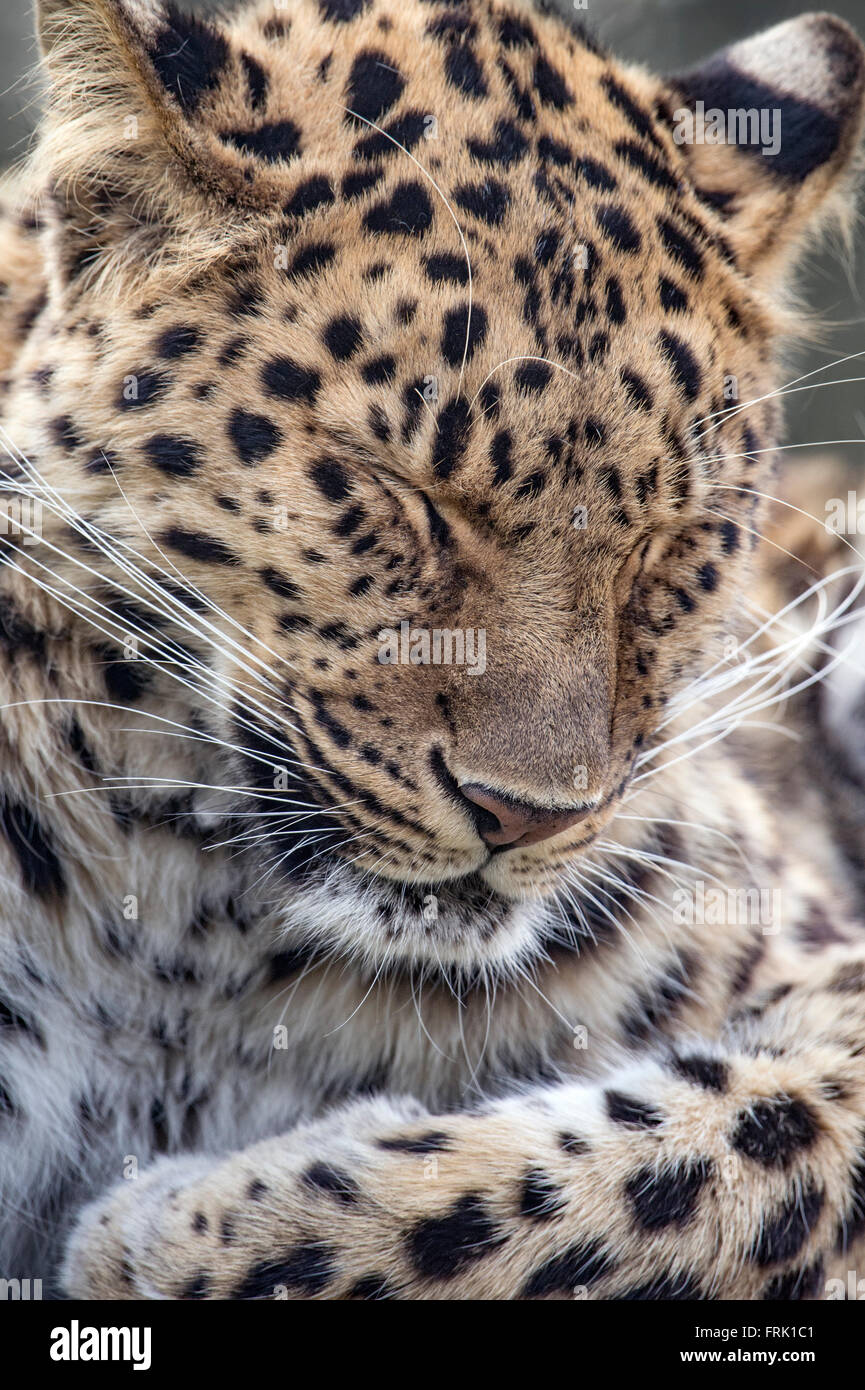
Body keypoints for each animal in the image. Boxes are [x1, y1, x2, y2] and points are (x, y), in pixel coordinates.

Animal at [1, 0, 865, 1301]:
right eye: (397, 496)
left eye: (672, 542)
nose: (527, 816)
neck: (190, 943)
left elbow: (732, 1156)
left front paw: (181, 1233)